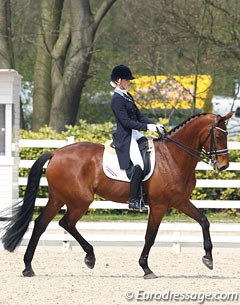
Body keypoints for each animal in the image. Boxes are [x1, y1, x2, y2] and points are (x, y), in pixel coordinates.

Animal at [0, 111, 232, 278]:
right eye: (219, 135)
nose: (223, 166)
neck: (173, 157)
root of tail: (56, 152)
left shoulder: (180, 201)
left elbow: (203, 220)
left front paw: (208, 258)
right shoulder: (159, 206)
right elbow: (150, 236)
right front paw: (146, 268)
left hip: (58, 198)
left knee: (41, 224)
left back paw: (28, 267)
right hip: (80, 200)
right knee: (66, 223)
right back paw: (90, 257)